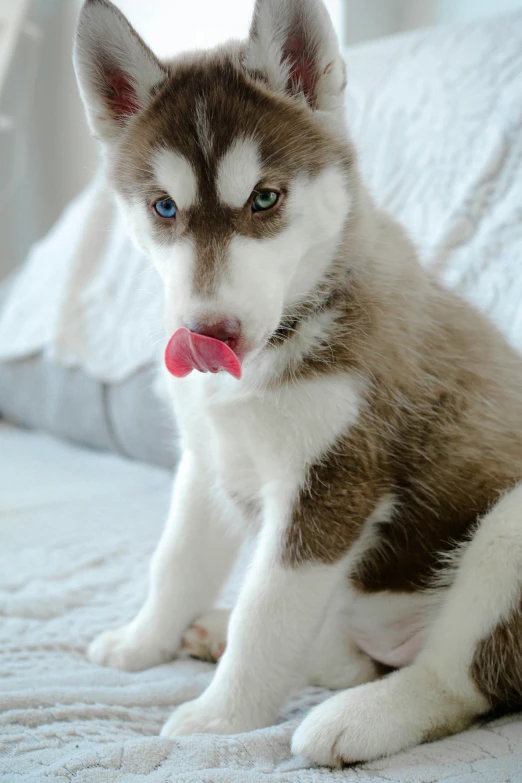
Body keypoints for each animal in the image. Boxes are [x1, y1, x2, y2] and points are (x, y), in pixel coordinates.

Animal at [74, 0, 522, 764]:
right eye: (164, 208)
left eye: (265, 198)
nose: (210, 335)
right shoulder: (208, 457)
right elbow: (177, 560)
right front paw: (144, 639)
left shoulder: (333, 480)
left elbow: (269, 612)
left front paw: (220, 718)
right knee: (351, 653)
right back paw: (223, 633)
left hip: (508, 530)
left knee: (457, 678)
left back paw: (357, 717)